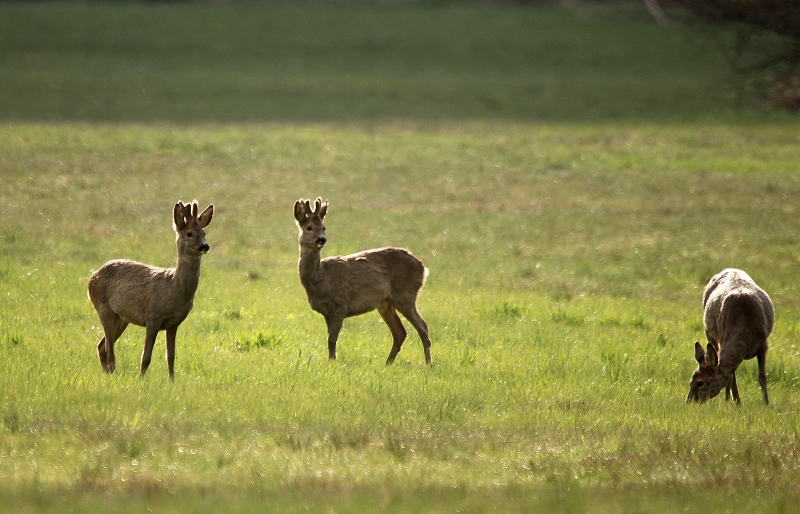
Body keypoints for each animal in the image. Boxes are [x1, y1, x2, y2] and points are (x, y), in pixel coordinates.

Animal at [88, 199, 214, 376]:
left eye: (204, 233)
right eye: (189, 233)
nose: (204, 246)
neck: (174, 289)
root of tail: (92, 276)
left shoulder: (174, 323)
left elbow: (171, 357)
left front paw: (172, 380)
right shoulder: (153, 316)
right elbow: (146, 356)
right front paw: (141, 379)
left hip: (122, 318)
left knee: (101, 346)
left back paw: (108, 374)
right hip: (103, 307)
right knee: (109, 348)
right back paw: (114, 374)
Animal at [294, 197, 432, 364]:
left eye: (324, 227)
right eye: (309, 227)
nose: (321, 239)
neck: (321, 280)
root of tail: (423, 267)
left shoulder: (341, 303)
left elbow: (332, 339)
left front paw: (332, 362)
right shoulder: (326, 311)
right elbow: (329, 339)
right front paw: (331, 360)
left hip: (405, 295)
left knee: (422, 326)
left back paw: (428, 363)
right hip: (386, 303)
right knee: (400, 332)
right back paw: (388, 363)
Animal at [688, 268, 776, 404]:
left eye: (700, 383)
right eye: (690, 382)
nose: (689, 402)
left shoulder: (763, 343)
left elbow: (762, 376)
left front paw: (766, 403)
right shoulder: (724, 338)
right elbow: (730, 377)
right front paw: (730, 401)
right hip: (709, 332)